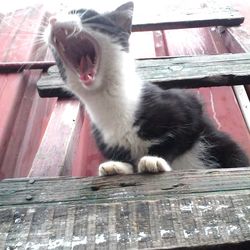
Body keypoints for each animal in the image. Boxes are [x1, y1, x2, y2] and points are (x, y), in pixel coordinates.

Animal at [46, 1, 248, 176]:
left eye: (81, 13)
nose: (52, 19)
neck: (107, 102)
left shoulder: (187, 105)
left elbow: (178, 138)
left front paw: (155, 159)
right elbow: (123, 156)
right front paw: (118, 166)